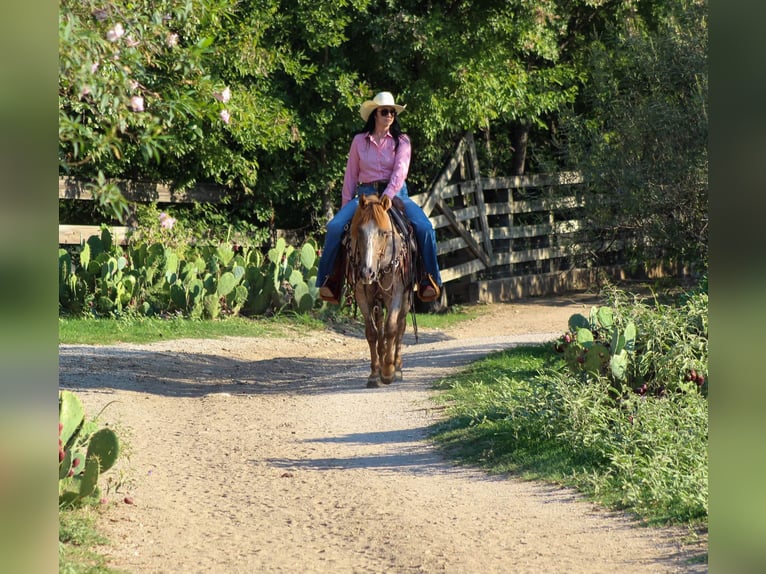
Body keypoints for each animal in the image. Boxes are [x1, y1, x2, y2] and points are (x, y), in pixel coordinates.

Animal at [345, 193, 417, 387]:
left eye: (384, 233)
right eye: (359, 231)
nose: (366, 272)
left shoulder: (396, 293)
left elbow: (392, 328)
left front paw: (388, 371)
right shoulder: (362, 295)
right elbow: (372, 333)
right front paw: (374, 374)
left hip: (405, 299)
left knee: (400, 326)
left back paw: (397, 366)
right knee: (380, 329)